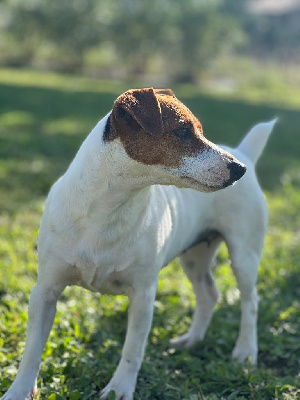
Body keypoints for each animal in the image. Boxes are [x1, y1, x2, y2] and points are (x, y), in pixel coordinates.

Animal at [2, 88, 276, 400]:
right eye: (183, 131)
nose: (238, 170)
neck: (110, 208)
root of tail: (245, 153)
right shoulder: (45, 291)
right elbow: (32, 350)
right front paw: (19, 390)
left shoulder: (143, 296)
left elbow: (132, 350)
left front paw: (119, 389)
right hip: (194, 256)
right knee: (208, 294)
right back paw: (192, 340)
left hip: (243, 256)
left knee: (250, 302)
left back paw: (245, 352)